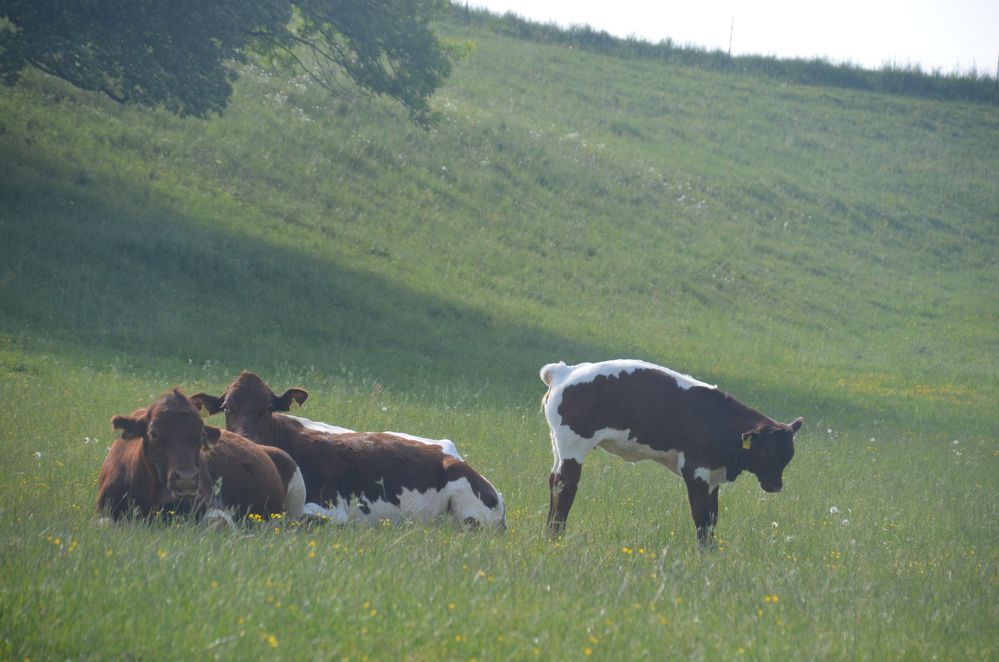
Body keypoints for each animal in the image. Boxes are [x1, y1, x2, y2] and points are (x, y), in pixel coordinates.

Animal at [193, 370, 508, 532]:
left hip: (468, 511)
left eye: (267, 408)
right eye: (227, 408)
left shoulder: (331, 508)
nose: (244, 438)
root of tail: (453, 455)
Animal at [540, 360, 804, 548]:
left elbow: (712, 518)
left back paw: (549, 536)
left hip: (558, 449)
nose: (775, 486)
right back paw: (556, 539)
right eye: (766, 454)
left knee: (554, 482)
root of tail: (565, 371)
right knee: (565, 487)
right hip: (573, 449)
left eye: (787, 457)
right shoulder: (696, 471)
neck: (718, 421)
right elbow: (701, 517)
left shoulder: (713, 477)